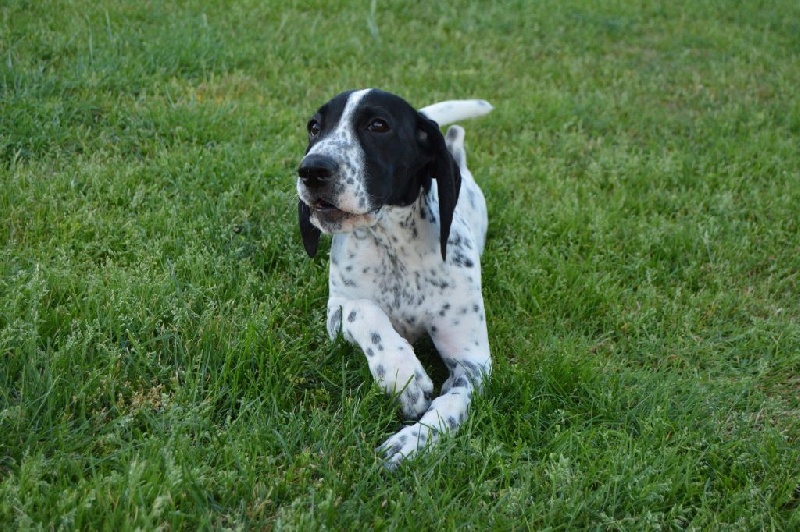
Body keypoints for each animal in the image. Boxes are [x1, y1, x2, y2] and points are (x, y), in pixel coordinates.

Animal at [296, 88, 490, 466]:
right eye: (314, 127)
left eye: (378, 125)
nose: (311, 169)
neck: (393, 246)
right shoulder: (335, 314)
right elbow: (362, 311)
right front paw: (403, 375)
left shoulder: (473, 364)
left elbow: (450, 405)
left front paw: (413, 440)